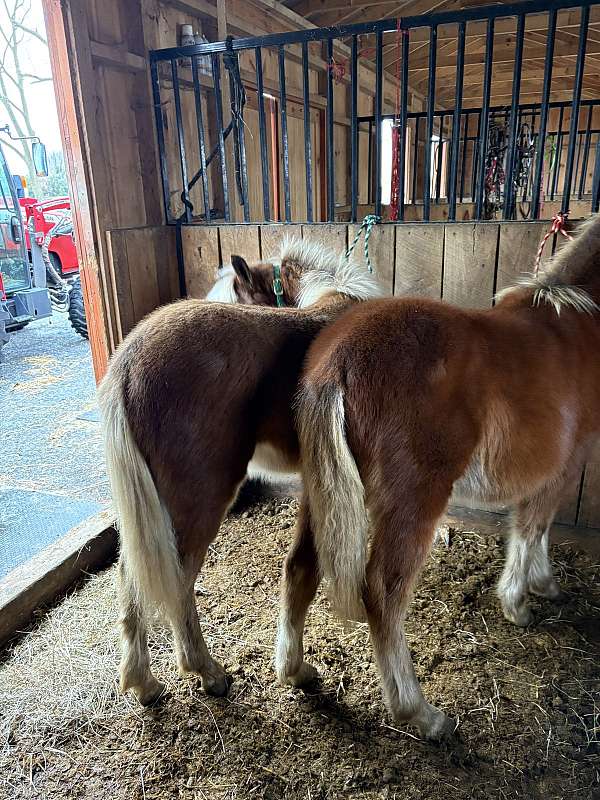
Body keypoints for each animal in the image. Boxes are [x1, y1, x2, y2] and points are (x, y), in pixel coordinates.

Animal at [98, 238, 382, 705]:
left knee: (133, 577)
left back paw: (144, 683)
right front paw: (297, 670)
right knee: (176, 580)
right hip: (198, 503)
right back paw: (206, 672)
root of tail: (126, 364)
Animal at [276, 214, 600, 740]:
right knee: (383, 592)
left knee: (300, 566)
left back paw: (296, 670)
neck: (577, 317)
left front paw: (541, 585)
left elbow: (535, 526)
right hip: (415, 500)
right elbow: (533, 526)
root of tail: (337, 360)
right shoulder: (566, 464)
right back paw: (421, 714)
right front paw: (521, 602)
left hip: (319, 492)